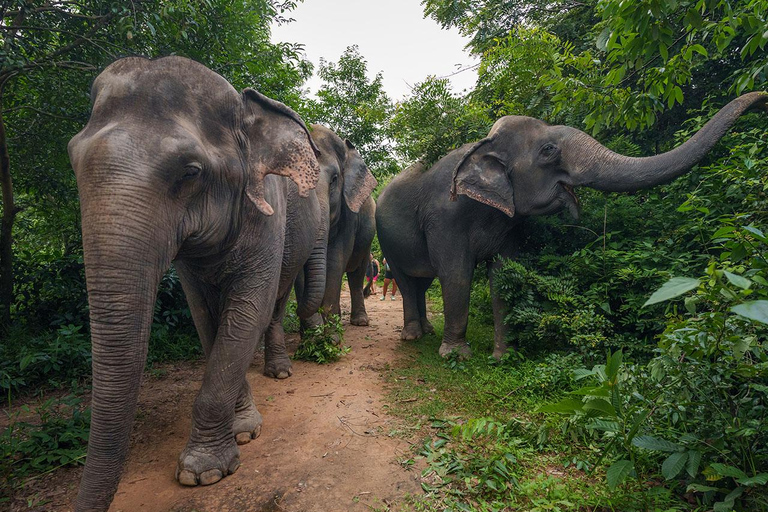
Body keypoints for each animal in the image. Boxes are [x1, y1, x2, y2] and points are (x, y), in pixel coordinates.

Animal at [68, 54, 328, 510]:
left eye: (190, 172)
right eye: (71, 159)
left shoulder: (268, 215)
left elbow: (247, 311)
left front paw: (202, 472)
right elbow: (205, 316)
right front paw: (242, 430)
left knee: (276, 303)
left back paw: (280, 372)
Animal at [266, 125, 380, 380]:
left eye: (335, 179)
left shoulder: (349, 214)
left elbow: (336, 260)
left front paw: (331, 339)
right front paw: (309, 338)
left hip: (368, 233)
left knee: (356, 273)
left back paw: (359, 322)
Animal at [378, 91, 768, 360]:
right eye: (549, 150)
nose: (762, 99)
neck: (482, 145)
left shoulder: (510, 225)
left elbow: (503, 273)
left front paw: (504, 357)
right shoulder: (445, 216)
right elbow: (457, 274)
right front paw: (457, 357)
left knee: (421, 281)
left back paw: (427, 332)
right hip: (386, 242)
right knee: (407, 281)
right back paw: (414, 337)